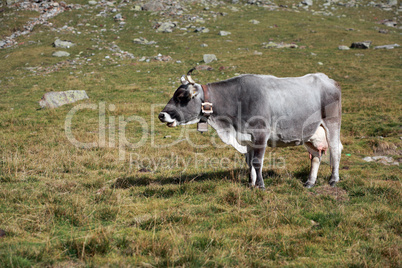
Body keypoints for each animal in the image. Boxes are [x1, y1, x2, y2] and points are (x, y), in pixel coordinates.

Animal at [159, 69, 342, 191]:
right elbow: (249, 162)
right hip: (311, 133)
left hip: (332, 123)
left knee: (335, 149)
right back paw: (310, 182)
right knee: (316, 156)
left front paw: (260, 185)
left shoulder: (261, 134)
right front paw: (251, 183)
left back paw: (333, 179)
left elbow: (257, 161)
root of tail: (328, 79)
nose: (162, 115)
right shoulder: (246, 138)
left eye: (182, 97)